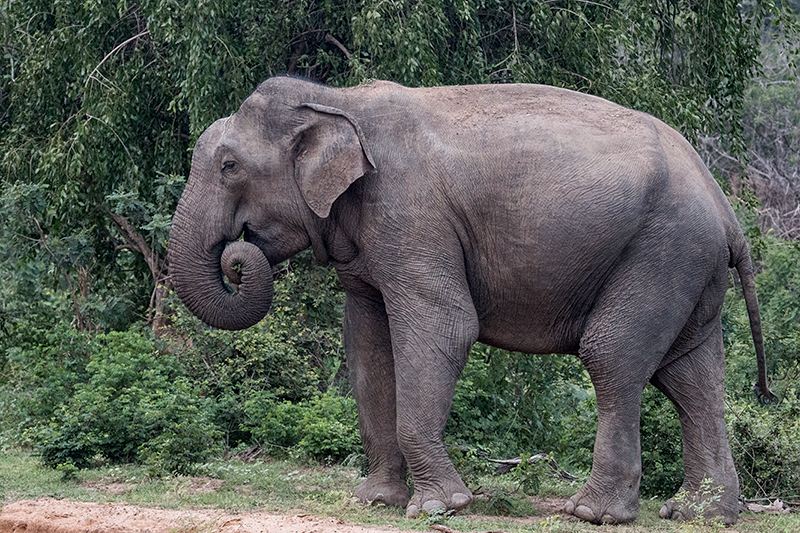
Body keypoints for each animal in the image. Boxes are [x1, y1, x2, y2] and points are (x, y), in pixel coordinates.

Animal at [167, 76, 768, 524]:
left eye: (228, 166)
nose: (237, 256)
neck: (339, 98)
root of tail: (726, 208)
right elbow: (367, 346)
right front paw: (376, 501)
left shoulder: (410, 211)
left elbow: (446, 326)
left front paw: (439, 508)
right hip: (689, 268)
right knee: (691, 375)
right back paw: (698, 514)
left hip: (664, 251)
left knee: (613, 356)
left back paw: (591, 513)